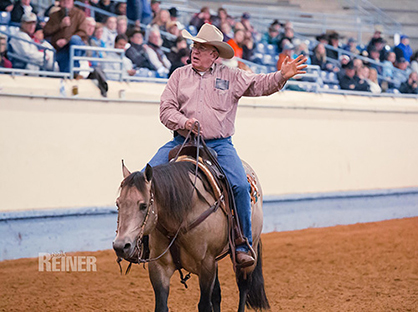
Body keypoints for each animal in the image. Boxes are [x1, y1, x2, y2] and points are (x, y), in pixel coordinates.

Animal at [112, 143, 270, 310]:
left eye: (143, 205)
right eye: (118, 204)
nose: (120, 246)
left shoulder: (206, 265)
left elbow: (204, 305)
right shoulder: (159, 267)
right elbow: (162, 305)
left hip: (249, 254)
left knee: (243, 286)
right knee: (217, 294)